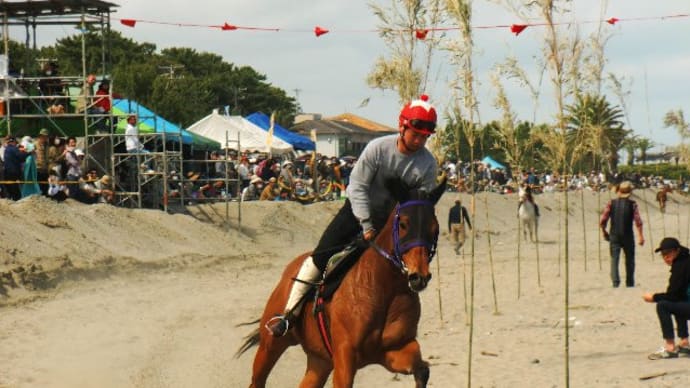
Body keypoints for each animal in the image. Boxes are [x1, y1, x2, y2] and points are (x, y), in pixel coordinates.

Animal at [234, 180, 444, 386]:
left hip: (320, 361)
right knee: (258, 379)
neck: (382, 288)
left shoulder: (395, 349)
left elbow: (422, 370)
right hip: (271, 345)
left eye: (435, 229)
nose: (419, 276)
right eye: (403, 224)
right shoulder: (345, 357)